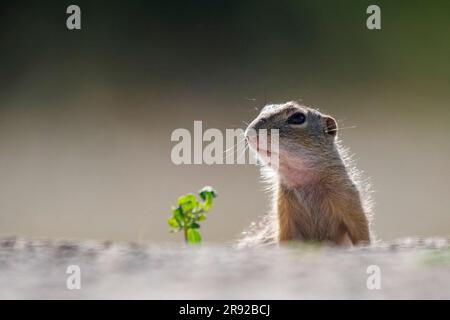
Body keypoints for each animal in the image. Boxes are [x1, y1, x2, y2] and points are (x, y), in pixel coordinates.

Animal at [241, 101, 374, 246]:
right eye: (264, 109)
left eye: (298, 117)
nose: (250, 131)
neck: (304, 181)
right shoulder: (284, 212)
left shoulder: (348, 198)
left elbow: (361, 231)